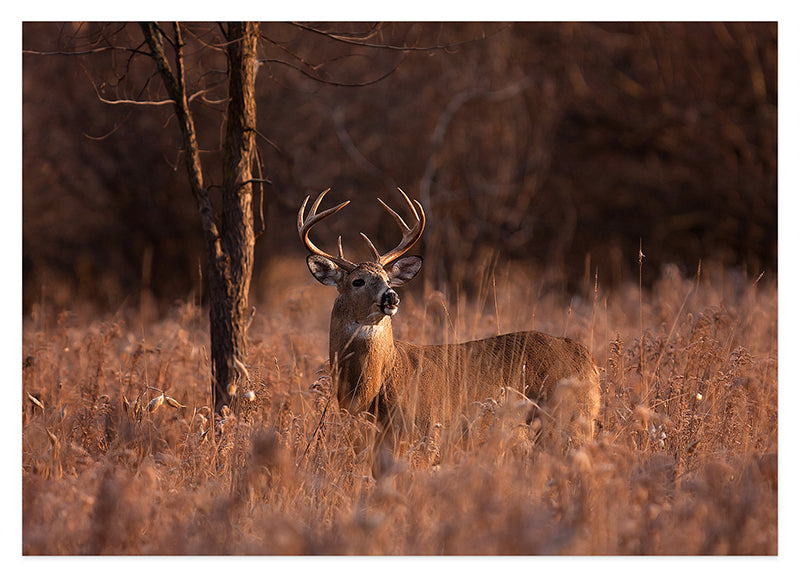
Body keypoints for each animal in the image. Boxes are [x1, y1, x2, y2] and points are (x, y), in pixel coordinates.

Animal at [298, 188, 601, 452]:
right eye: (358, 281)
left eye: (386, 279)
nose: (391, 296)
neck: (373, 389)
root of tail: (587, 358)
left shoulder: (425, 429)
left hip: (568, 420)